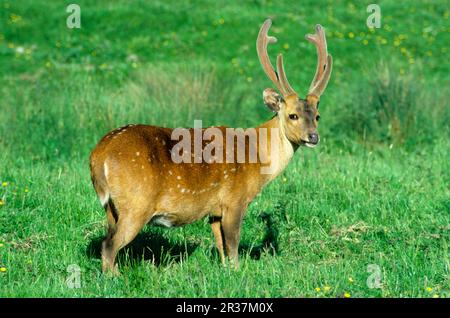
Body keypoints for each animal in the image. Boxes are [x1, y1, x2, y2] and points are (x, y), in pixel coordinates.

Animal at [89, 18, 332, 274]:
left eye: (317, 116)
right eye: (293, 115)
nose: (313, 137)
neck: (256, 157)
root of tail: (98, 155)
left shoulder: (214, 211)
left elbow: (220, 245)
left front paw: (224, 270)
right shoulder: (235, 199)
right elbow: (233, 245)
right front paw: (237, 272)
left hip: (111, 208)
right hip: (136, 203)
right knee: (109, 245)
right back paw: (115, 277)